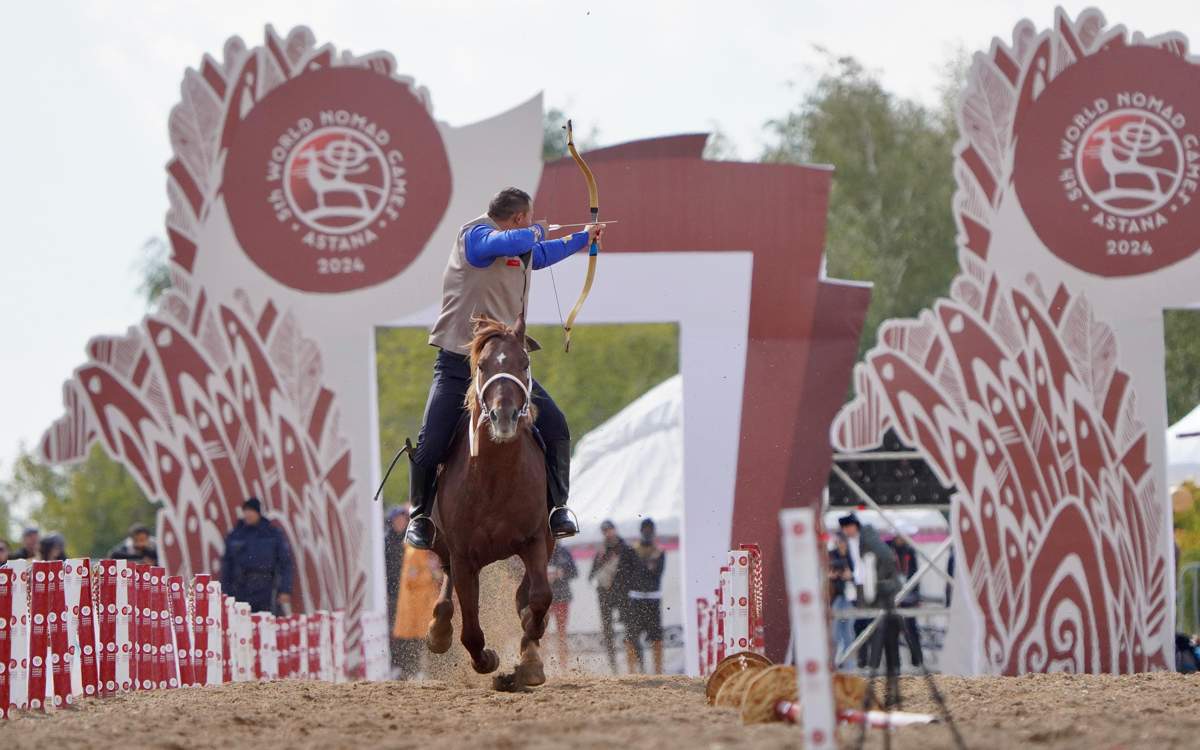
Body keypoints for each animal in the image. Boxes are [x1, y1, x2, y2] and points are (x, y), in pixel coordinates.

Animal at [424, 312, 554, 686]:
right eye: (482, 365)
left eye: (524, 362)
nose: (503, 416)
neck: (495, 477)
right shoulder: (463, 554)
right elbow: (470, 628)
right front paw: (486, 661)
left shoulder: (536, 539)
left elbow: (538, 598)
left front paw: (528, 660)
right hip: (441, 542)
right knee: (448, 583)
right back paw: (438, 630)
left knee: (525, 595)